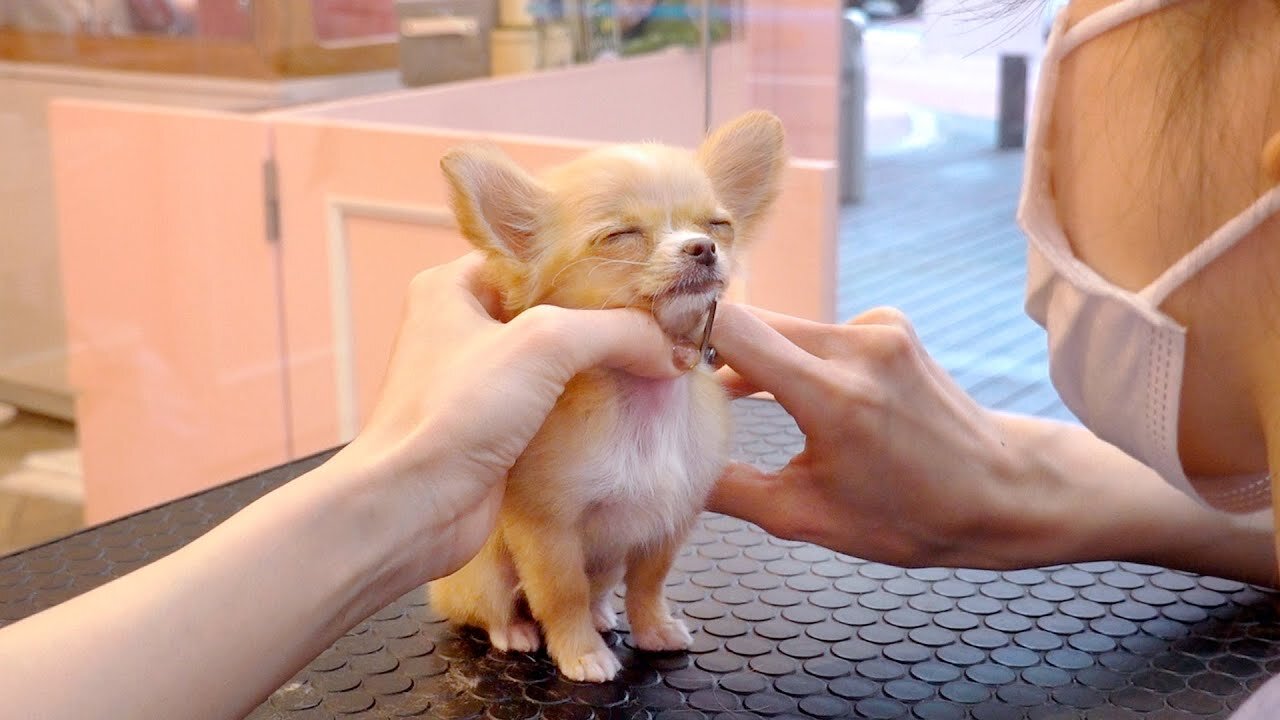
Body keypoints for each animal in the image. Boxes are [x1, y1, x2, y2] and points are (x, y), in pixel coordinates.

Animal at [430, 110, 783, 676]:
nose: (702, 248)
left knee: (600, 589)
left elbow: (648, 585)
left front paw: (654, 630)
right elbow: (561, 594)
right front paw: (580, 654)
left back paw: (600, 615)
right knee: (493, 607)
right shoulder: (548, 532)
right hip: (485, 572)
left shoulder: (667, 522)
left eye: (718, 226)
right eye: (620, 235)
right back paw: (516, 632)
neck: (646, 402)